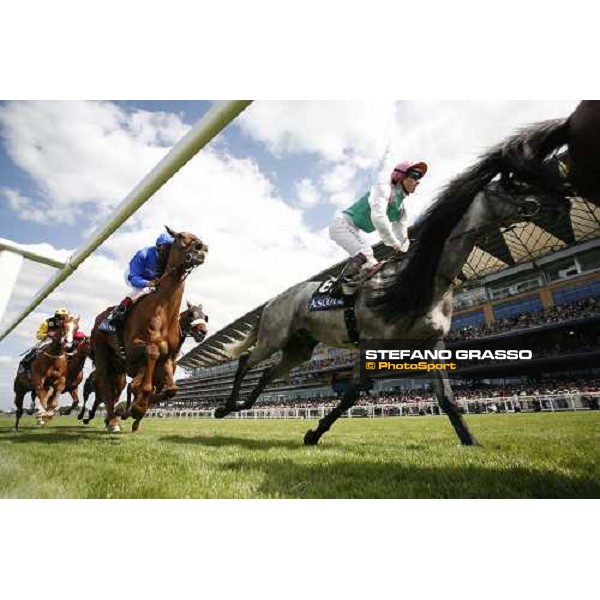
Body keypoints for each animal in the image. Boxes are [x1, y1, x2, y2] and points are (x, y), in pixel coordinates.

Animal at [91, 229, 207, 432]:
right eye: (180, 236)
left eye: (204, 316)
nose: (201, 248)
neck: (163, 311)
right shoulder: (134, 349)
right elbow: (150, 359)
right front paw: (136, 409)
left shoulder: (167, 359)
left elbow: (170, 390)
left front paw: (136, 410)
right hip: (101, 351)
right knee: (104, 383)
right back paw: (113, 421)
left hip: (118, 367)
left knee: (116, 388)